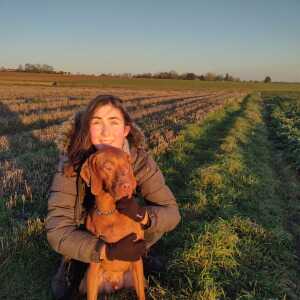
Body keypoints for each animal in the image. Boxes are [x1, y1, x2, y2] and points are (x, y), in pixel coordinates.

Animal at [78, 144, 145, 298]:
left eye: (126, 166)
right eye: (107, 167)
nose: (126, 186)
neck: (111, 212)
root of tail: (114, 283)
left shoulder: (137, 258)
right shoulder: (93, 267)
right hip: (85, 282)